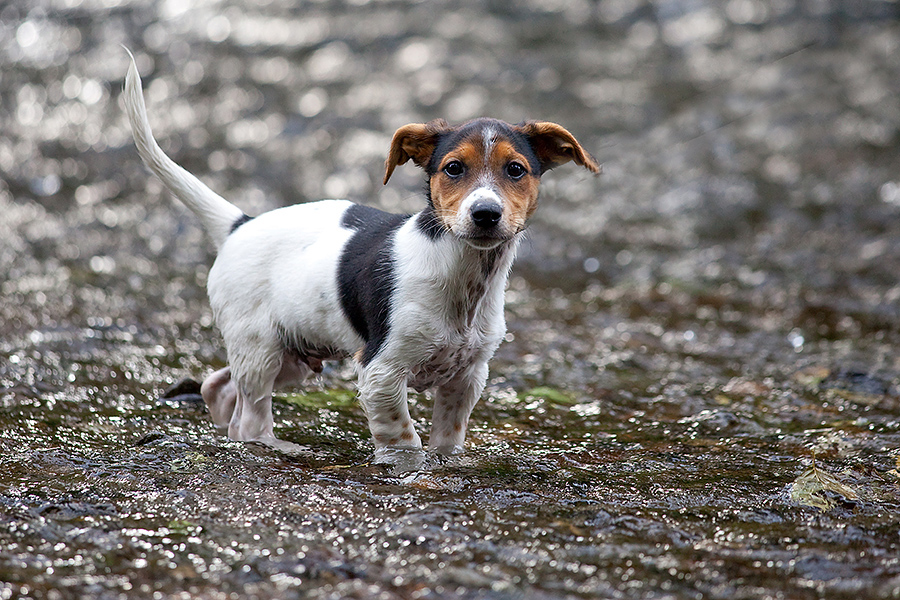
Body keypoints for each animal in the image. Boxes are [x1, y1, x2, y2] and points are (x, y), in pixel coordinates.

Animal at [119, 54, 596, 458]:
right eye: (453, 168)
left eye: (515, 170)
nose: (485, 214)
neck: (463, 274)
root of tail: (240, 223)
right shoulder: (380, 371)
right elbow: (403, 439)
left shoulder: (467, 378)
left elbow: (447, 439)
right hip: (260, 348)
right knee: (252, 420)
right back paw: (282, 448)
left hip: (294, 354)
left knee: (219, 387)